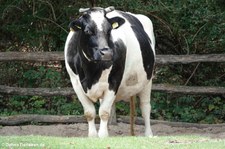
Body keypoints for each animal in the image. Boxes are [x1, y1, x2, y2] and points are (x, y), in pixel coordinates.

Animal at [64, 6, 156, 137]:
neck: (91, 71)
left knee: (145, 106)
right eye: (87, 31)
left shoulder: (114, 81)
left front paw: (103, 136)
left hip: (148, 79)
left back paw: (148, 134)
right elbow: (89, 112)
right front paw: (93, 136)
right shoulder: (76, 83)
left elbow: (104, 112)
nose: (106, 53)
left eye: (109, 30)